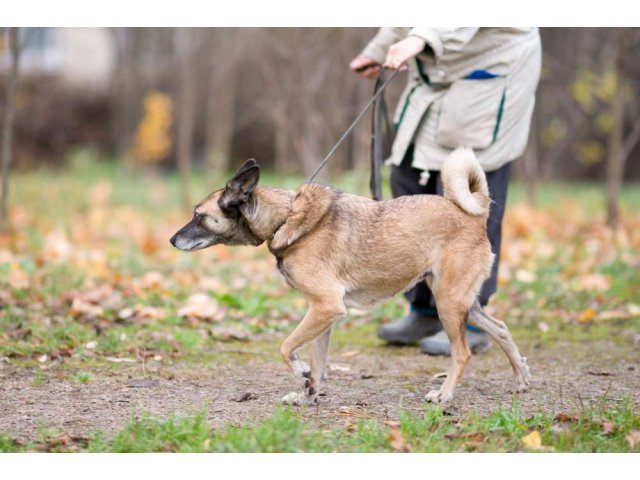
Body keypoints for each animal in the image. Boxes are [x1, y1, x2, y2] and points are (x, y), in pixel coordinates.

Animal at [169, 148, 528, 404]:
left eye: (199, 217)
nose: (172, 240)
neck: (287, 217)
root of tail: (473, 212)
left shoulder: (325, 307)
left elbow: (287, 348)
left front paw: (300, 372)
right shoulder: (322, 313)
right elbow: (318, 363)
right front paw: (308, 394)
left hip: (449, 303)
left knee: (462, 353)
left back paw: (445, 395)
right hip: (462, 302)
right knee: (501, 328)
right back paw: (521, 377)